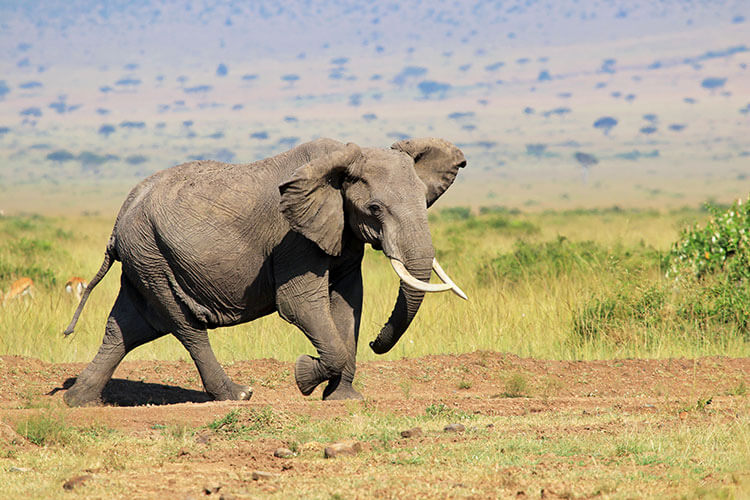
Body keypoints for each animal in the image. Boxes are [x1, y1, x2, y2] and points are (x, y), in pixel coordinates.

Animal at [61, 137, 468, 406]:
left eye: (425, 203)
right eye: (375, 208)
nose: (376, 342)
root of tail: (119, 219)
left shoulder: (341, 231)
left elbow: (348, 302)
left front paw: (343, 399)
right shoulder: (293, 238)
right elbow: (299, 304)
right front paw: (304, 376)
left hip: (145, 258)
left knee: (126, 328)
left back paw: (79, 401)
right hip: (152, 257)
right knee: (184, 326)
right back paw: (238, 394)